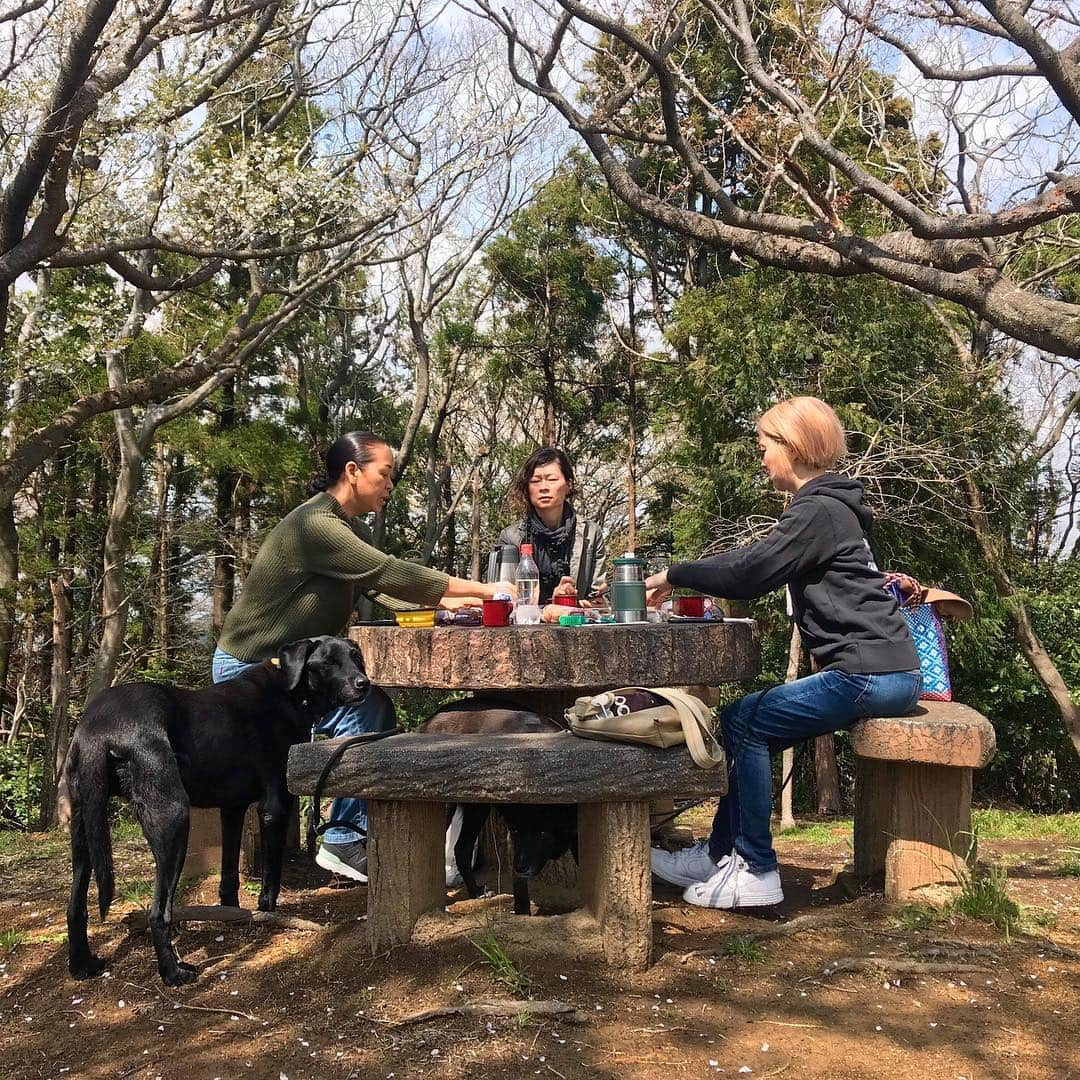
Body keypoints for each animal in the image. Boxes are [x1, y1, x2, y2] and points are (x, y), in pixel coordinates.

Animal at [66, 635, 375, 984]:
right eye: (329, 662)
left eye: (356, 657)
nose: (364, 684)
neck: (289, 691)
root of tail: (96, 728)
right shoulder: (275, 807)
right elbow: (272, 874)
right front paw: (267, 911)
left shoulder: (232, 809)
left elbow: (229, 872)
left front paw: (232, 912)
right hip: (173, 818)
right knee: (158, 911)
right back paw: (173, 972)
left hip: (84, 826)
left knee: (75, 905)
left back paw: (82, 965)